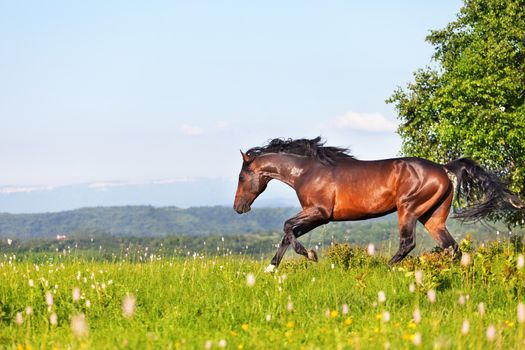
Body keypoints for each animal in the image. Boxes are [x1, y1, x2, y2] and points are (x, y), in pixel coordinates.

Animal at [233, 135, 524, 272]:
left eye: (241, 176)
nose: (238, 208)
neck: (307, 171)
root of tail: (443, 168)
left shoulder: (319, 212)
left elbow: (287, 227)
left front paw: (310, 255)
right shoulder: (317, 216)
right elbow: (287, 233)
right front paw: (270, 269)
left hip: (408, 210)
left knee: (409, 243)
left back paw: (385, 268)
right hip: (432, 216)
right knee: (450, 247)